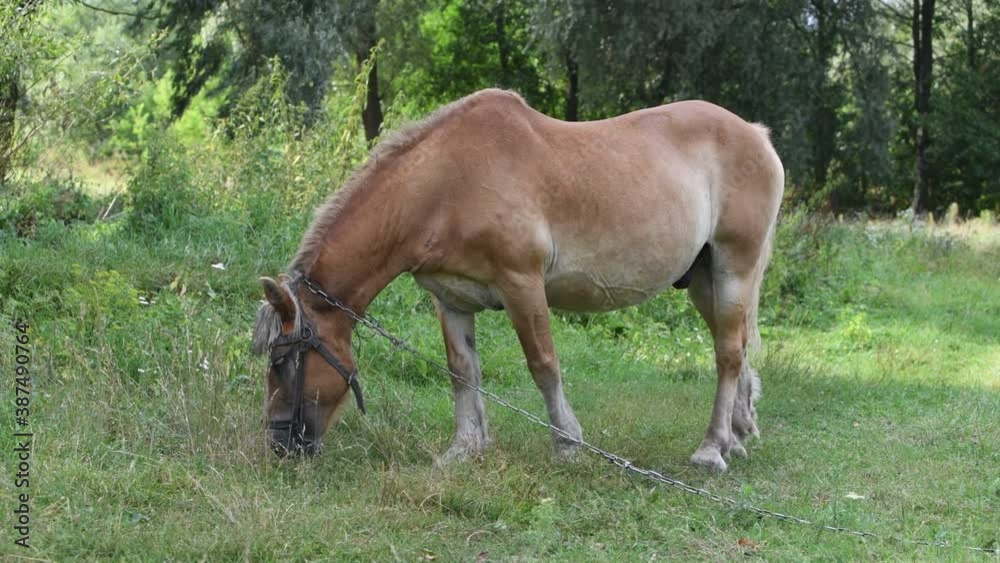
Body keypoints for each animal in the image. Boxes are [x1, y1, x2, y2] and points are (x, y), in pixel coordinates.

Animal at [252, 88, 783, 472]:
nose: (280, 445)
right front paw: (465, 448)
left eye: (282, 362)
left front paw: (567, 443)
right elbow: (462, 371)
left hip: (734, 267)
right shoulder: (449, 299)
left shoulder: (521, 283)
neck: (445, 185)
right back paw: (737, 434)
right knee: (734, 347)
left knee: (727, 354)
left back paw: (711, 450)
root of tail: (756, 135)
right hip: (703, 280)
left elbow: (543, 364)